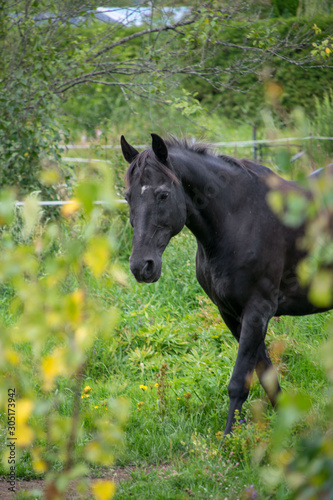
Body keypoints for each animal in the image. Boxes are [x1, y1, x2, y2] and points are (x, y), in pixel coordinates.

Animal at [120, 133, 330, 434]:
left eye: (163, 194)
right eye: (128, 197)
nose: (141, 266)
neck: (241, 220)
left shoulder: (257, 312)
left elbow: (239, 382)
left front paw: (229, 437)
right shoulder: (231, 314)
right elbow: (264, 374)